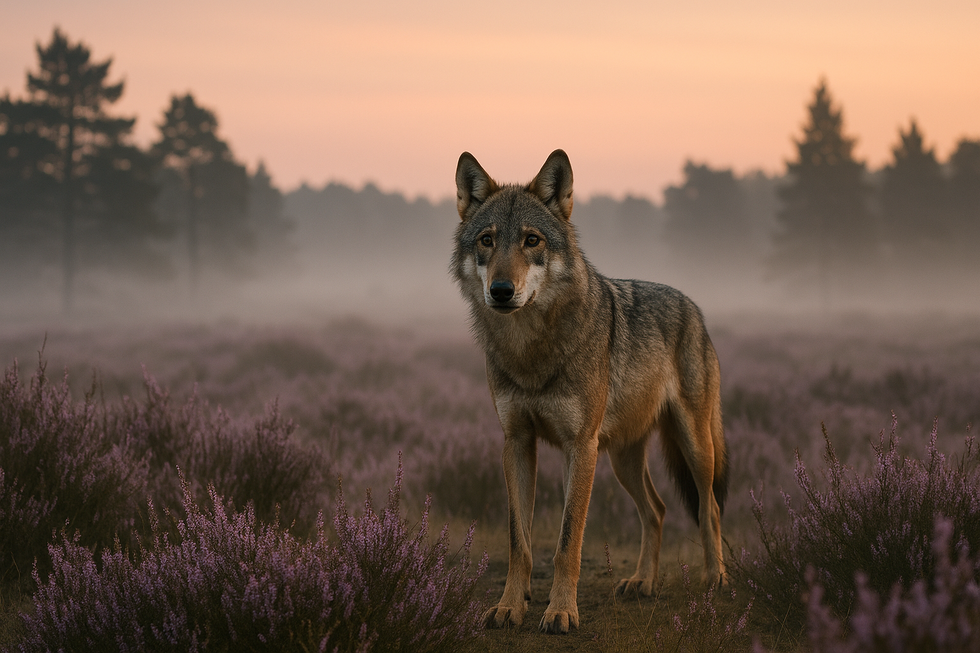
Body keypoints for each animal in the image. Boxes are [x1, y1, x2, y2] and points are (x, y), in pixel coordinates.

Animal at [451, 150, 728, 634]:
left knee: (708, 508)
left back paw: (716, 579)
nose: (501, 291)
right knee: (656, 510)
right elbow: (519, 541)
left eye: (531, 240)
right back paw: (642, 583)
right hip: (620, 460)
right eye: (487, 240)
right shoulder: (517, 443)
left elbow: (568, 542)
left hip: (692, 447)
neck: (531, 351)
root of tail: (693, 306)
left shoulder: (580, 447)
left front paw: (561, 611)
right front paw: (510, 606)